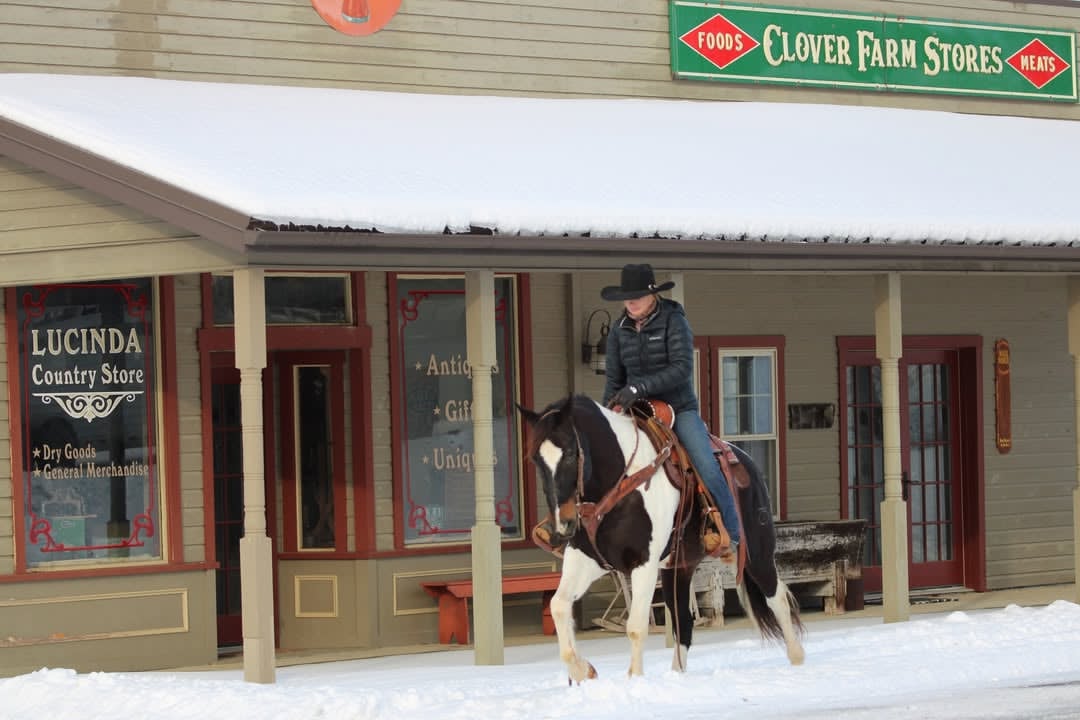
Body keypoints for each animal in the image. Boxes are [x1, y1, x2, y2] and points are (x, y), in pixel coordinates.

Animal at [518, 394, 804, 682]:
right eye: (536, 460)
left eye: (570, 454)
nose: (562, 524)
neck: (620, 482)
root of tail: (749, 464)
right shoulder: (586, 559)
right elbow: (559, 605)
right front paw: (582, 670)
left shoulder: (643, 562)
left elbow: (636, 627)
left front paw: (634, 679)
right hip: (679, 568)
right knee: (683, 620)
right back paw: (677, 674)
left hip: (757, 553)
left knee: (777, 598)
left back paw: (797, 659)